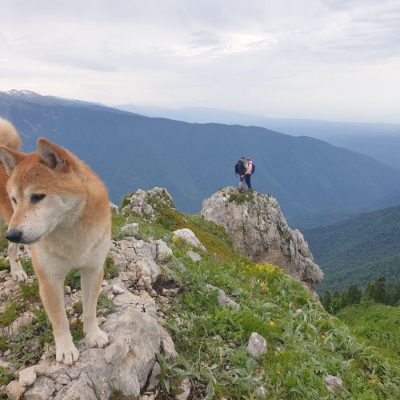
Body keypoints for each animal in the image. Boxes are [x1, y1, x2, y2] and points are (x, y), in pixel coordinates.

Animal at [0, 117, 111, 364]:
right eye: (14, 199)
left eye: (38, 197)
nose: (13, 233)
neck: (71, 233)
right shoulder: (50, 279)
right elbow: (59, 319)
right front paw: (66, 349)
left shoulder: (93, 269)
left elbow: (90, 310)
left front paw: (94, 335)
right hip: (8, 222)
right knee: (11, 250)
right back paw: (17, 271)